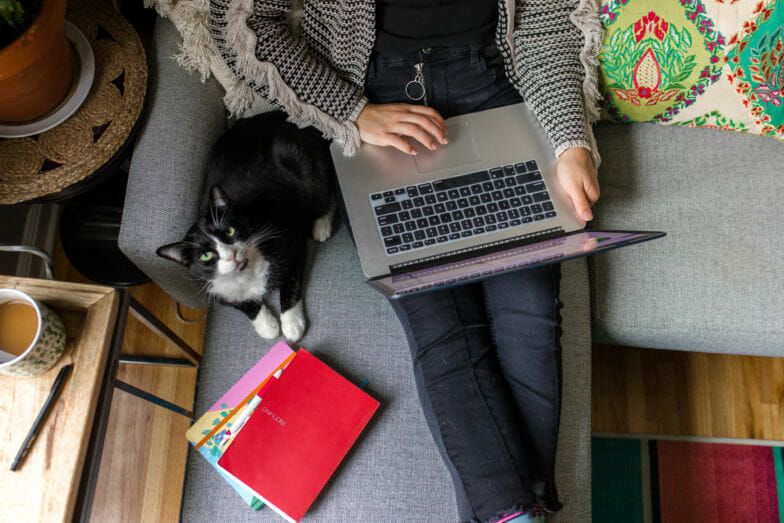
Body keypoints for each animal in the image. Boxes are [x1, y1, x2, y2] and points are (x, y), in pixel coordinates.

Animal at [155, 111, 334, 344]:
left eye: (229, 231)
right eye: (205, 256)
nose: (231, 255)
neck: (246, 271)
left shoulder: (290, 240)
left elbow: (290, 283)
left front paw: (292, 324)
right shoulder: (209, 286)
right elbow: (240, 303)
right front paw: (267, 326)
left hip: (300, 162)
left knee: (325, 192)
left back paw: (322, 225)